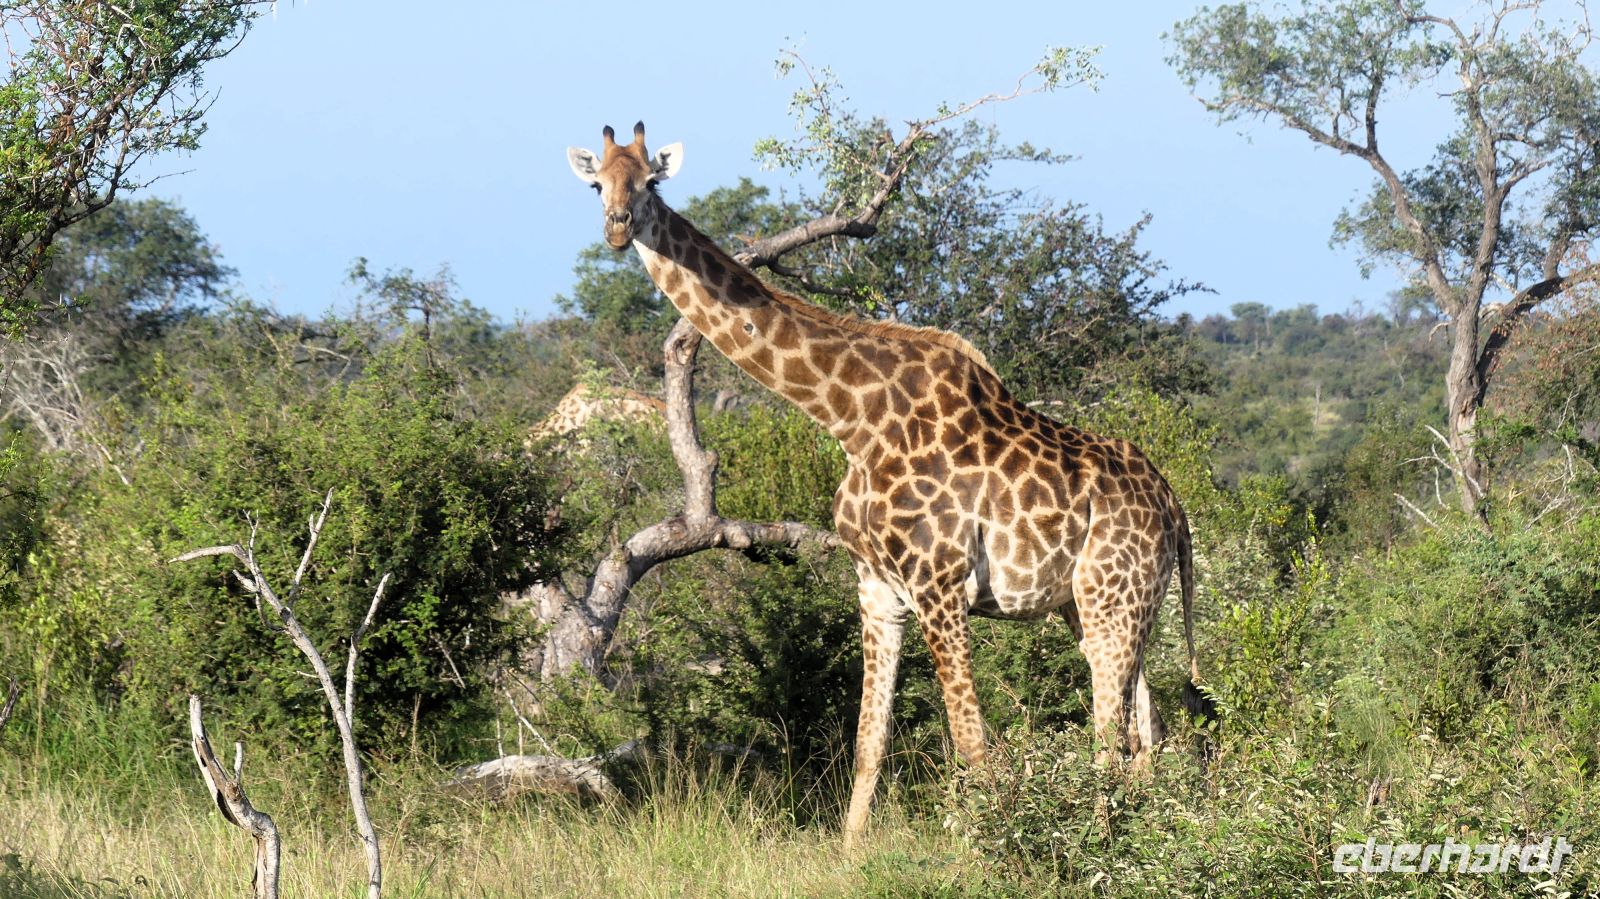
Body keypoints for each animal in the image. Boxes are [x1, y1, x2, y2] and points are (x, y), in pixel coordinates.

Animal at [567, 123, 1202, 845]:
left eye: (651, 182)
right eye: (597, 184)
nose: (618, 226)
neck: (852, 420)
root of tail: (1175, 507)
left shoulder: (939, 583)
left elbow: (971, 740)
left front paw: (989, 848)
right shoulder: (877, 586)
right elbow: (869, 739)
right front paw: (850, 852)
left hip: (1109, 597)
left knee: (1109, 732)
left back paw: (1100, 841)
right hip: (1101, 603)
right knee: (1145, 724)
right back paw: (1137, 837)